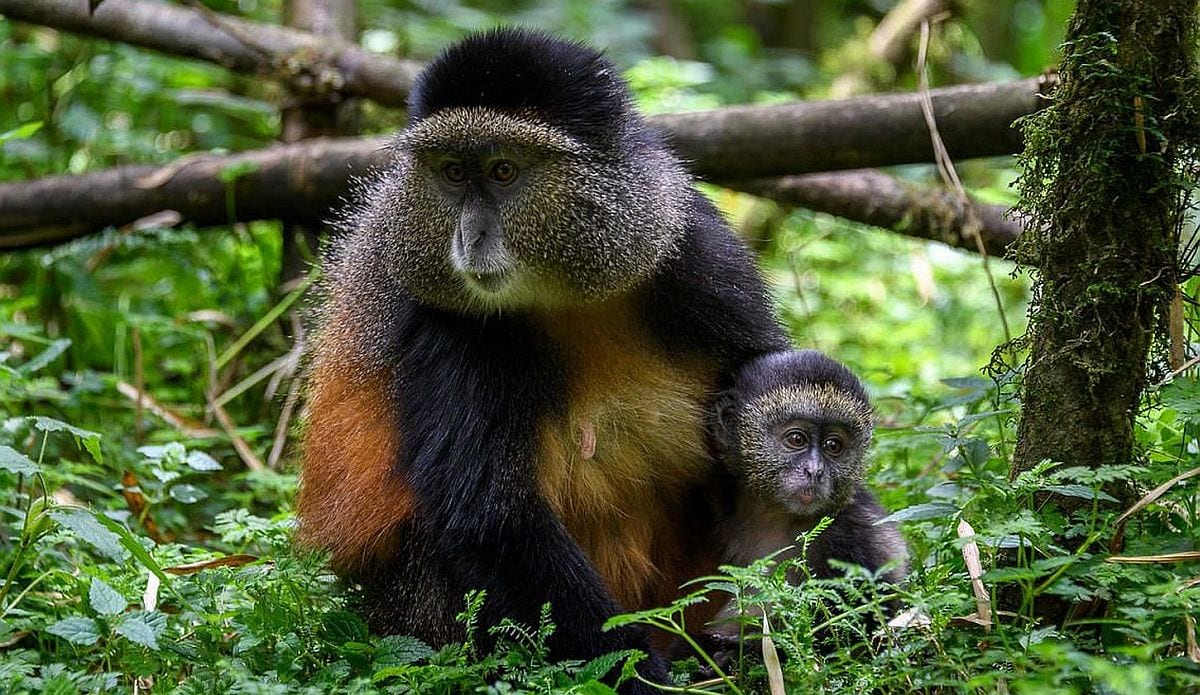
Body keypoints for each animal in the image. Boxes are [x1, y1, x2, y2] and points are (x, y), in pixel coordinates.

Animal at [295, 28, 790, 690]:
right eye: (453, 173)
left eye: (503, 171)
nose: (469, 238)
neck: (565, 292)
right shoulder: (449, 328)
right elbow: (491, 517)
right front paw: (642, 672)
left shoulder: (696, 253)